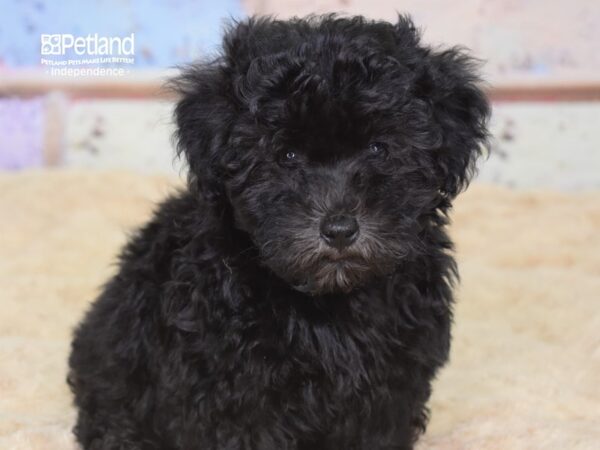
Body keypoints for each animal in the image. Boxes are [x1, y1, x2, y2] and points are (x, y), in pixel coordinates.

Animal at [68, 14, 488, 450]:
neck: (328, 301)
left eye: (379, 149)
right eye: (286, 156)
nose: (339, 229)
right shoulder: (234, 397)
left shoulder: (391, 389)